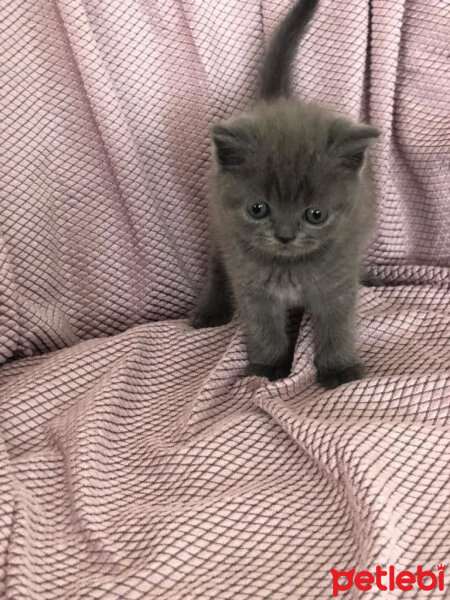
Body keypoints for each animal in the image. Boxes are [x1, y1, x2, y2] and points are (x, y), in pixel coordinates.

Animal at [190, 0, 380, 390]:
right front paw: (267, 368)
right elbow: (264, 330)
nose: (285, 236)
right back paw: (211, 309)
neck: (289, 266)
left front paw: (339, 369)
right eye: (258, 209)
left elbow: (338, 326)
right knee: (218, 260)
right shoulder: (252, 288)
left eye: (315, 214)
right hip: (222, 226)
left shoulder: (337, 281)